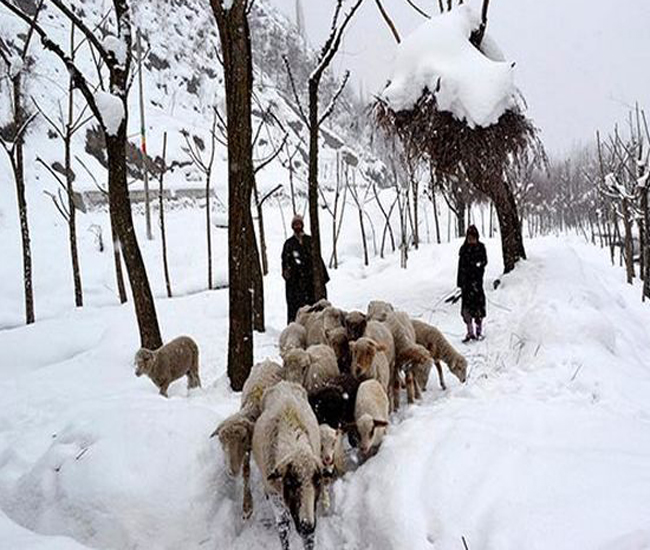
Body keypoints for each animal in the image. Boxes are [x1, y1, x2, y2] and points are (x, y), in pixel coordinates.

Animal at [210, 359, 282, 519]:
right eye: (221, 441)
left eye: (243, 439)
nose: (231, 472)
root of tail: (268, 360)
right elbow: (246, 470)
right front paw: (247, 505)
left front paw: (248, 507)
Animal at [252, 381, 323, 550]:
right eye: (290, 482)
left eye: (318, 481)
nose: (307, 526)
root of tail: (283, 383)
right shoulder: (275, 495)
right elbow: (283, 528)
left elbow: (309, 540)